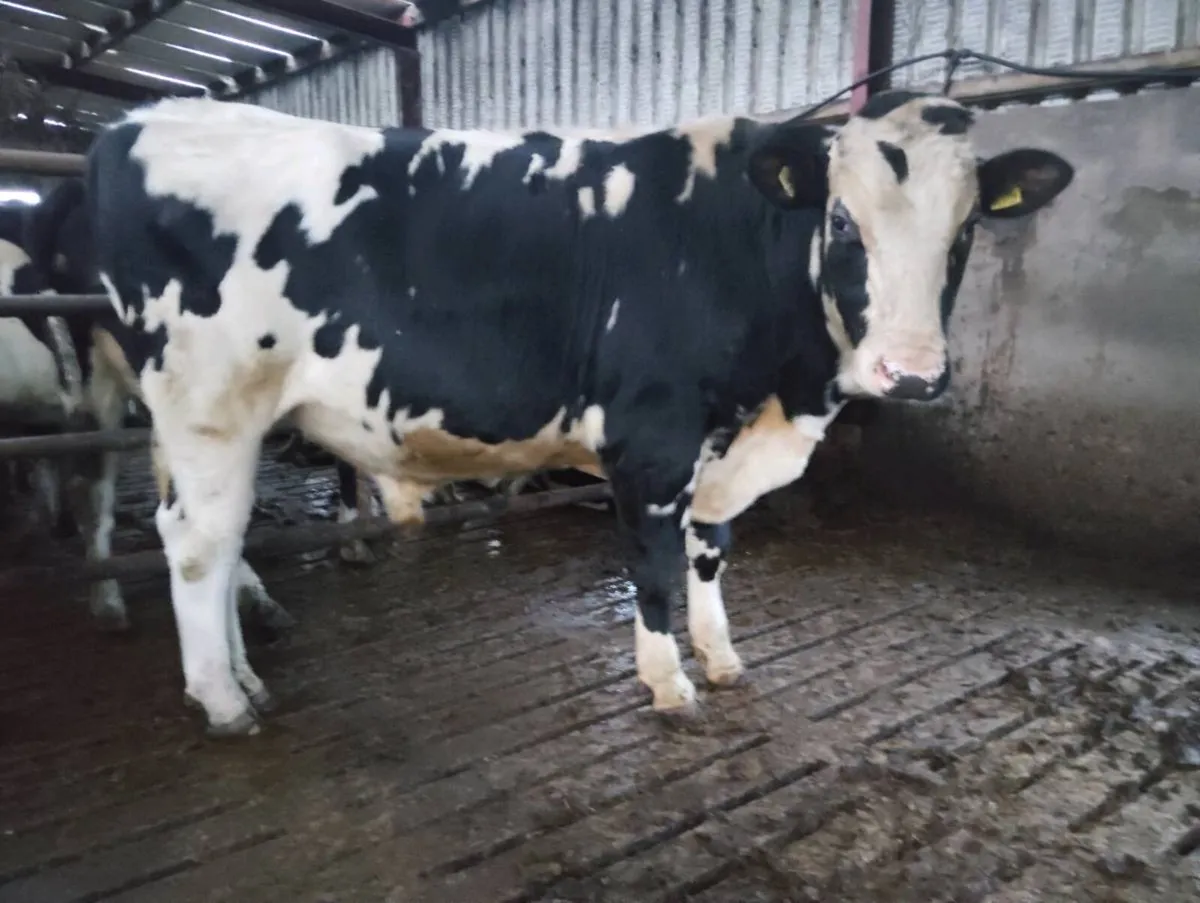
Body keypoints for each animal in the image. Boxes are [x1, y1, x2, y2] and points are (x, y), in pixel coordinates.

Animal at [86, 90, 1073, 736]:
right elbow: (655, 566)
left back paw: (244, 674)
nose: (909, 372)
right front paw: (670, 683)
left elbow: (710, 549)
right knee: (199, 541)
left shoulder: (717, 442)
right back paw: (224, 701)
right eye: (841, 222)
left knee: (219, 541)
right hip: (210, 403)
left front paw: (719, 655)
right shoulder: (652, 436)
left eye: (966, 231)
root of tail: (142, 121)